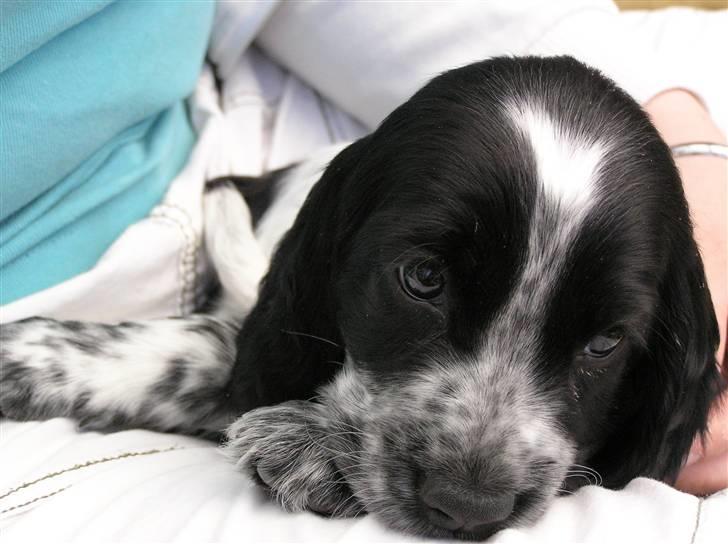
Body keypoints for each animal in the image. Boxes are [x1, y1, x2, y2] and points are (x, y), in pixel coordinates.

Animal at [1, 56, 724, 540]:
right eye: (423, 279)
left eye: (605, 343)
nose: (470, 510)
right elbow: (220, 351)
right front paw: (31, 356)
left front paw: (312, 447)